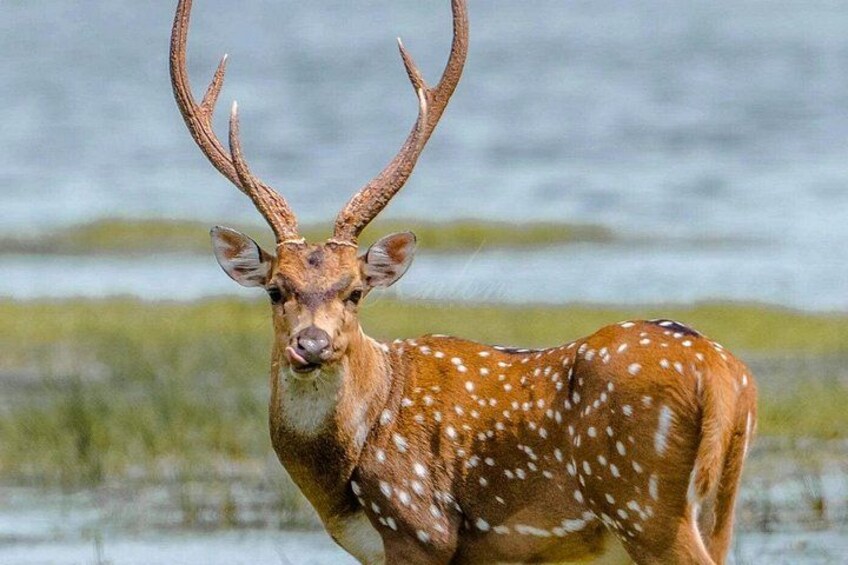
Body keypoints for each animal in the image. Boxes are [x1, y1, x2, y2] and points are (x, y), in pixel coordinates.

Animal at [170, 0, 758, 563]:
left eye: (355, 291)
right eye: (276, 289)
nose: (311, 344)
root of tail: (726, 376)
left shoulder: (420, 527)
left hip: (643, 503)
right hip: (718, 502)